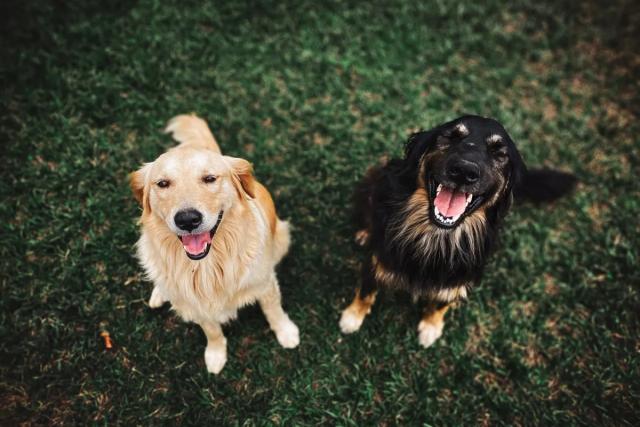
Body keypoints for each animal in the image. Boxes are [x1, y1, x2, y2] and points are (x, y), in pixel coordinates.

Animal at [340, 114, 576, 348]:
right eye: (451, 137)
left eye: (499, 153)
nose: (464, 171)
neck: (437, 235)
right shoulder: (376, 259)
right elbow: (366, 291)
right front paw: (352, 317)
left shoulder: (459, 278)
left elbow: (441, 302)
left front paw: (431, 327)